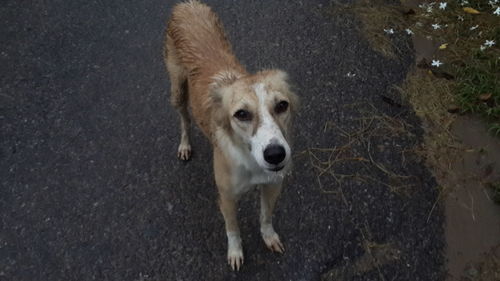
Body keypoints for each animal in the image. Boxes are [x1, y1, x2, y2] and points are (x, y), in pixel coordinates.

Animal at [163, 1, 296, 270]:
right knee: (184, 119)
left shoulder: (273, 185)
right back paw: (184, 145)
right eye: (241, 114)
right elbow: (233, 230)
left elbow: (266, 217)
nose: (276, 155)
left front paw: (269, 237)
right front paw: (235, 253)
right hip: (177, 90)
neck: (249, 160)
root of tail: (186, 5)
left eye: (282, 106)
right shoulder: (226, 198)